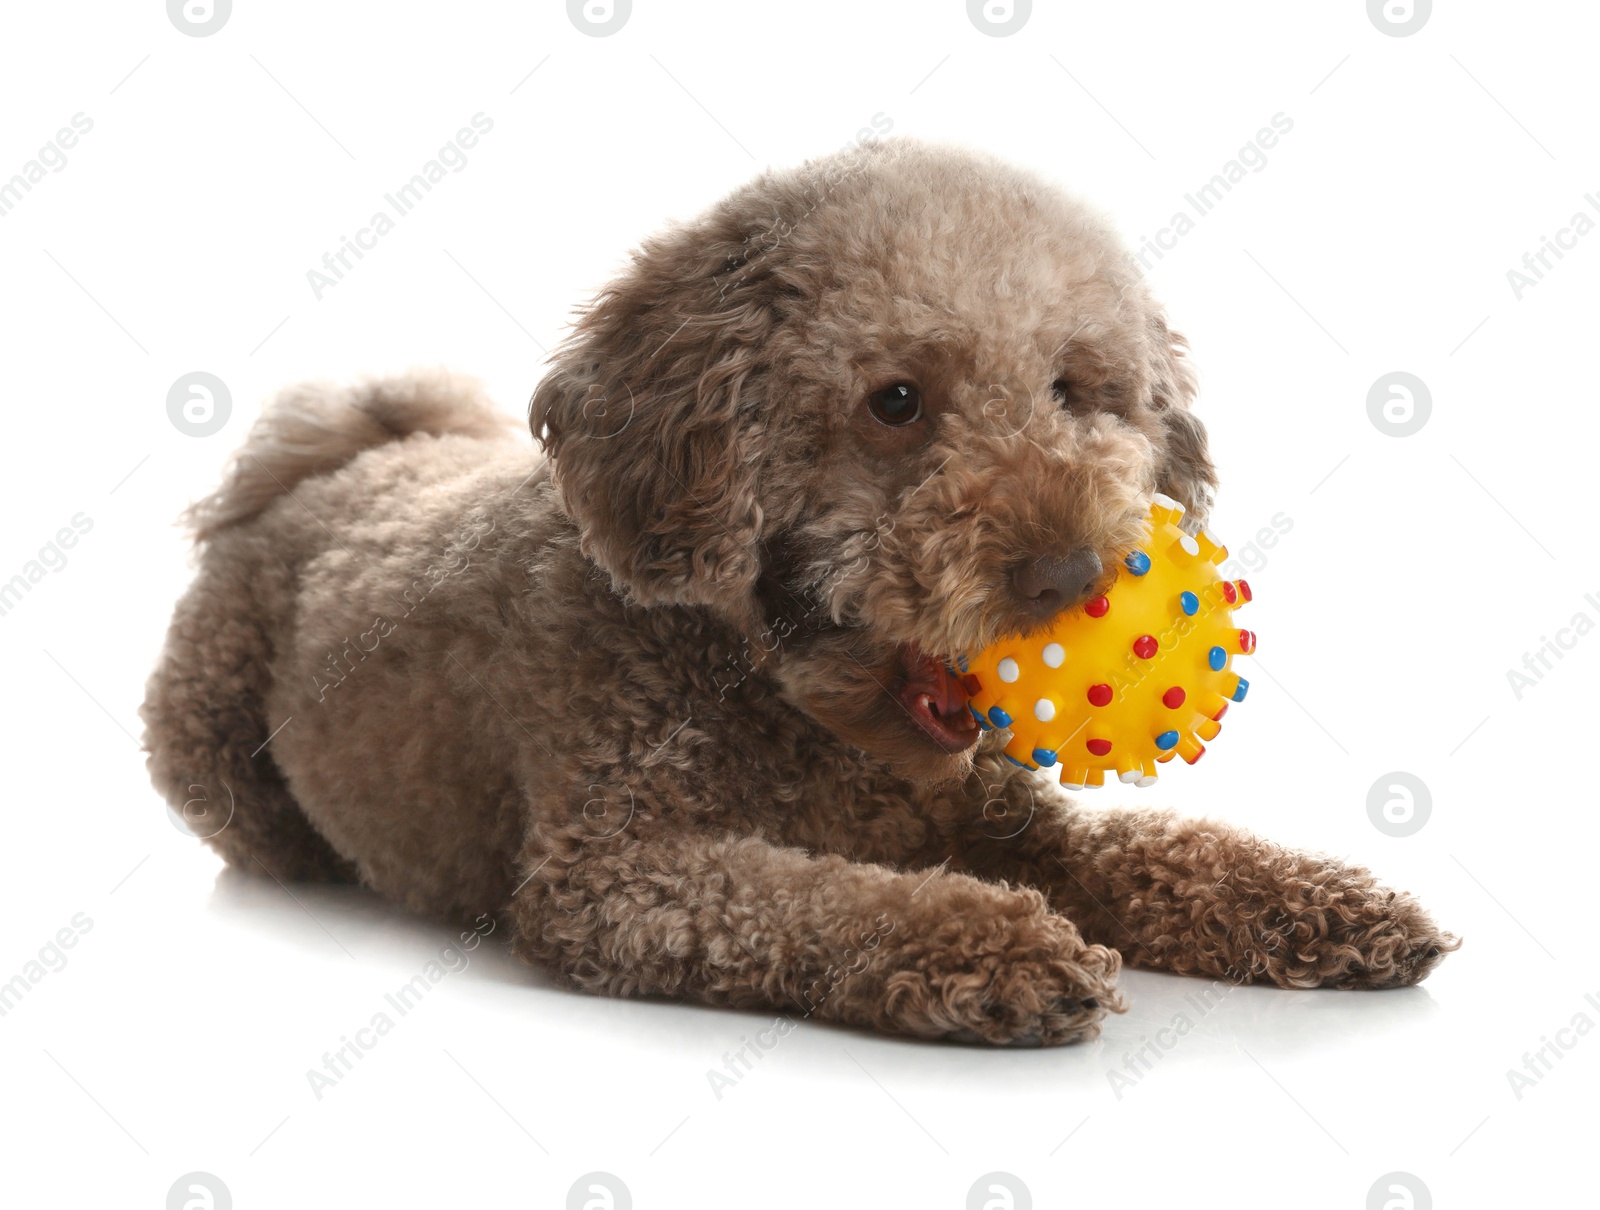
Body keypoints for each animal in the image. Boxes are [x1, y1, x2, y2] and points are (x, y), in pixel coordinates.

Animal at [144, 141, 1459, 1043]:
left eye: (1077, 388)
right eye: (895, 401)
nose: (1068, 573)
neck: (792, 708)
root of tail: (337, 459)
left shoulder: (1007, 821)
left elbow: (1159, 849)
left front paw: (1319, 900)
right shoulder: (618, 877)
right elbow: (824, 900)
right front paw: (992, 943)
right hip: (204, 747)